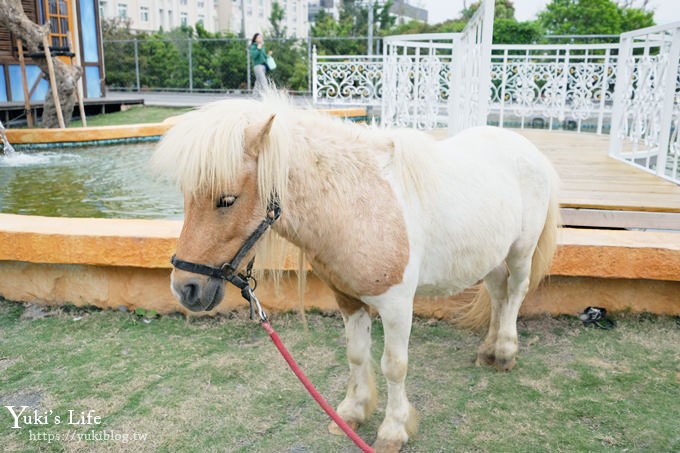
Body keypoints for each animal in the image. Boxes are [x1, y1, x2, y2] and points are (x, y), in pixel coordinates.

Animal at [151, 93, 560, 450]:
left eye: (227, 199)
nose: (185, 288)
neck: (357, 203)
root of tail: (530, 151)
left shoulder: (397, 306)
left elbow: (394, 366)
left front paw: (393, 430)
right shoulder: (347, 299)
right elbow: (357, 355)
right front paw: (352, 412)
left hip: (520, 252)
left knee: (515, 293)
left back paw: (504, 352)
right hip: (489, 256)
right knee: (498, 293)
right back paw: (488, 350)